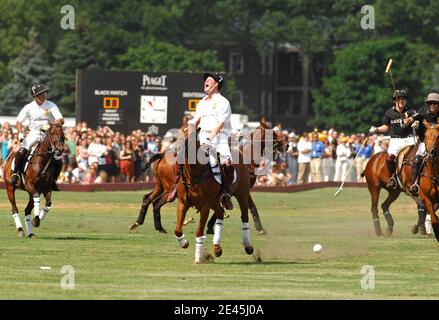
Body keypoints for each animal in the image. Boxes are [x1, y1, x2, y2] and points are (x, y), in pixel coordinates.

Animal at [129, 119, 288, 234]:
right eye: (273, 133)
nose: (286, 145)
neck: (246, 156)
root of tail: (163, 155)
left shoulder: (227, 192)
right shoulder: (238, 190)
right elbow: (251, 207)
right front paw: (260, 229)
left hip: (161, 186)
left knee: (148, 199)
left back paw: (141, 223)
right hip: (170, 189)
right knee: (157, 202)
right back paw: (157, 226)